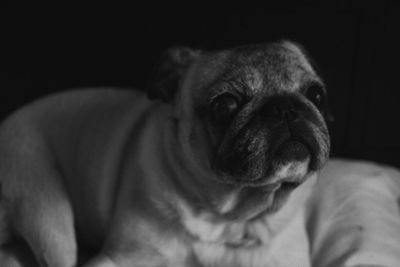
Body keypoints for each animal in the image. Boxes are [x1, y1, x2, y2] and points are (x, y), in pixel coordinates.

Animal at [0, 40, 330, 267]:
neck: (232, 218)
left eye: (316, 95)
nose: (285, 108)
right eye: (224, 105)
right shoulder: (117, 259)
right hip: (48, 215)